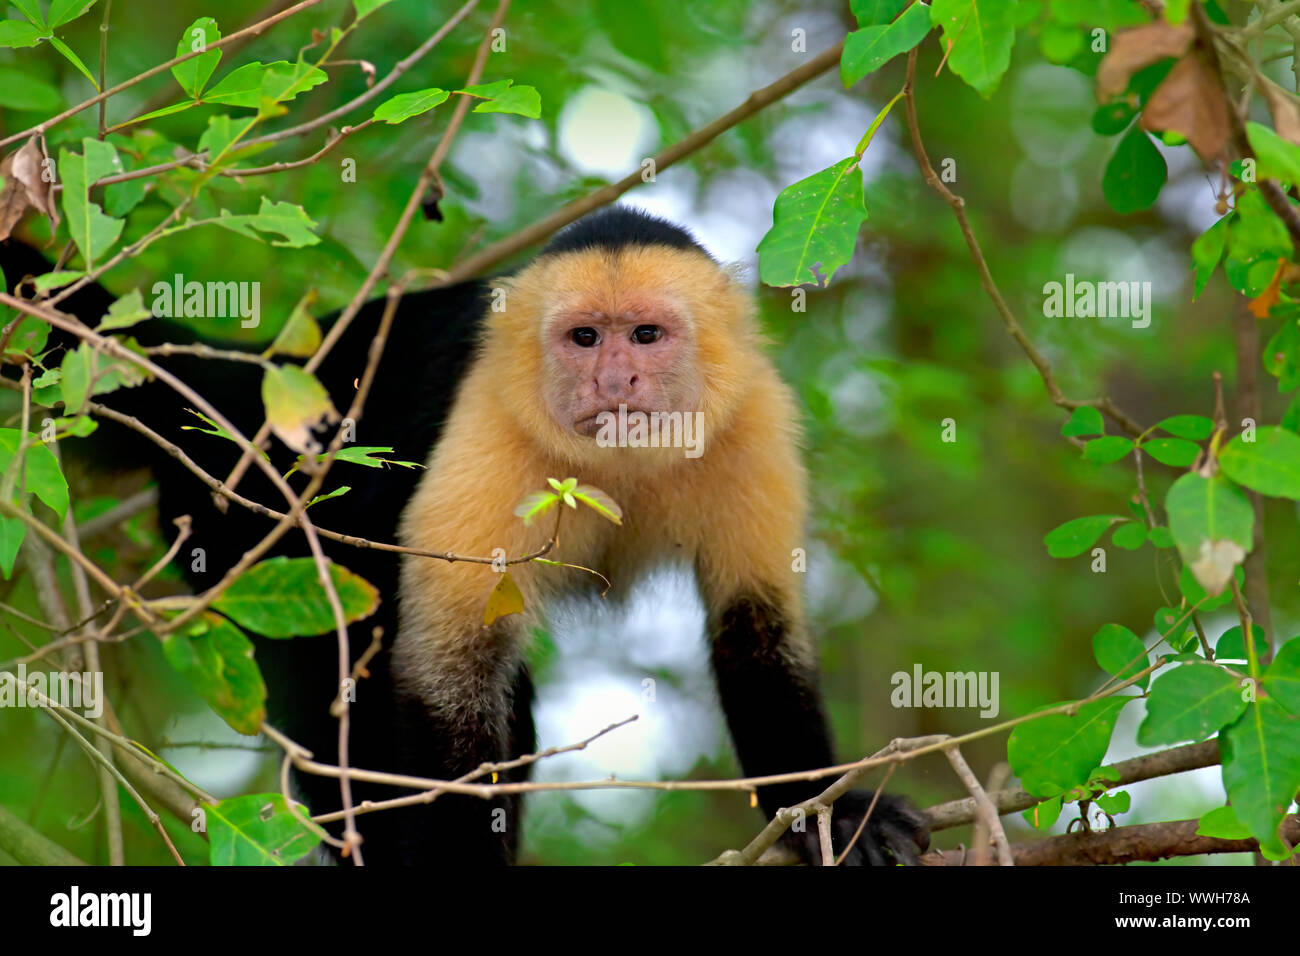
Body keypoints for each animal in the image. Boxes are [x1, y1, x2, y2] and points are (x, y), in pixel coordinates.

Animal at [5, 208, 930, 868]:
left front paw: (829, 811)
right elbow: (447, 674)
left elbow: (757, 632)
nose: (616, 379)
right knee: (347, 669)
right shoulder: (491, 420)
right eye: (584, 338)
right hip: (249, 520)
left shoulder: (752, 417)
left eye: (646, 335)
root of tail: (250, 378)